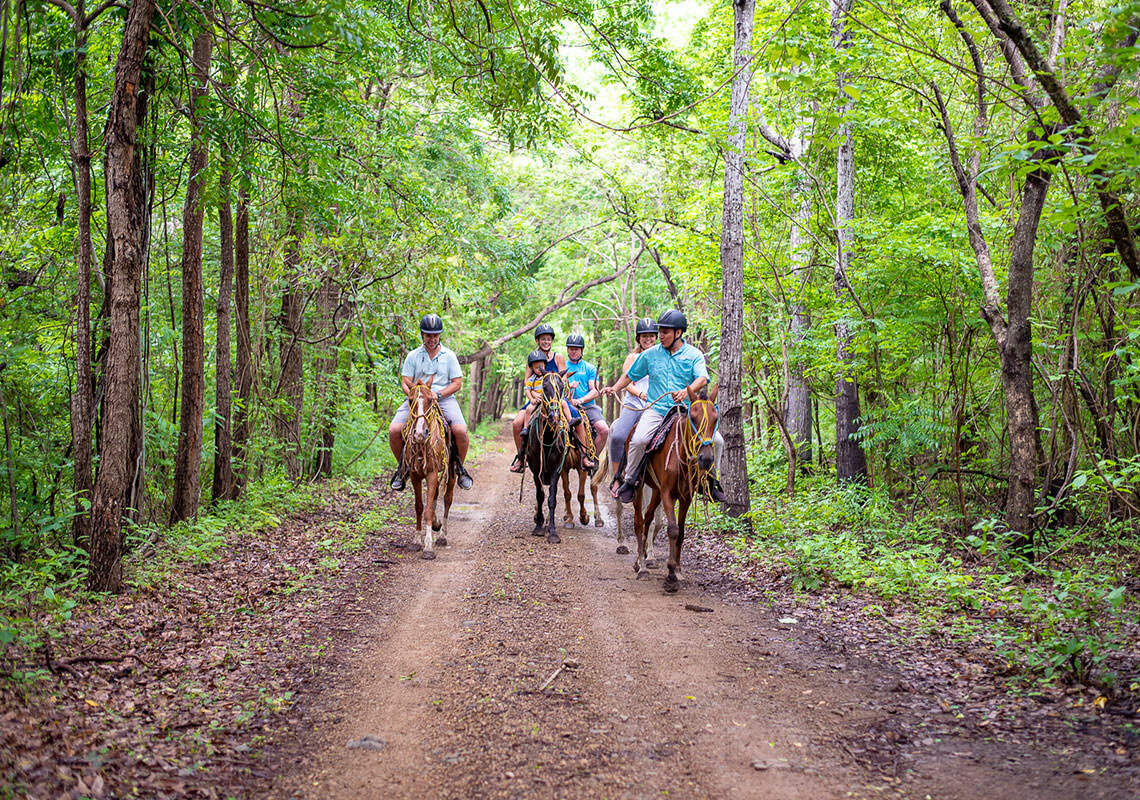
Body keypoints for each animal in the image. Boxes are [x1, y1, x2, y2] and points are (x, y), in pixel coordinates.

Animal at [401, 380, 453, 558]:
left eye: (431, 400)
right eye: (410, 400)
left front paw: (428, 547)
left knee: (447, 499)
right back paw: (437, 525)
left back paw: (443, 535)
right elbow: (419, 507)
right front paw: (417, 540)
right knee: (436, 495)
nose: (419, 434)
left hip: (452, 473)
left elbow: (429, 510)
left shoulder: (431, 474)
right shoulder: (415, 475)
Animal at [528, 376, 574, 544]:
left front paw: (553, 532)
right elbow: (540, 496)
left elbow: (552, 498)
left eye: (561, 387)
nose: (554, 416)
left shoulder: (556, 468)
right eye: (544, 387)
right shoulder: (535, 468)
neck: (548, 435)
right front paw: (538, 527)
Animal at [638, 392, 715, 592]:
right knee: (638, 521)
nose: (706, 459)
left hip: (656, 491)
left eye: (715, 419)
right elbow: (672, 529)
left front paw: (678, 571)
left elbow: (680, 532)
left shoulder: (686, 496)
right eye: (693, 418)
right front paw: (671, 574)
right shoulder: (667, 493)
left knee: (647, 518)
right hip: (640, 488)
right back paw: (640, 565)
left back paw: (642, 561)